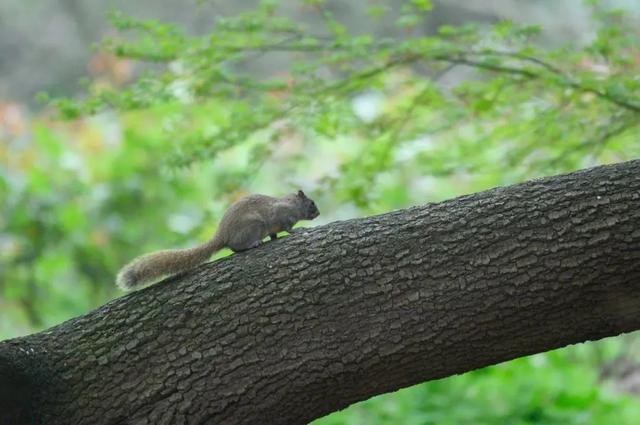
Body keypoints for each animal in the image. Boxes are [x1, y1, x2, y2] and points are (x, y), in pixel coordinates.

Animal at [115, 190, 320, 290]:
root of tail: (223, 235)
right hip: (254, 226)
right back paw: (253, 244)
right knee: (237, 247)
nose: (318, 213)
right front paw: (297, 231)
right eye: (311, 203)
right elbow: (287, 227)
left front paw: (277, 238)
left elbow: (274, 234)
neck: (292, 205)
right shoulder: (281, 216)